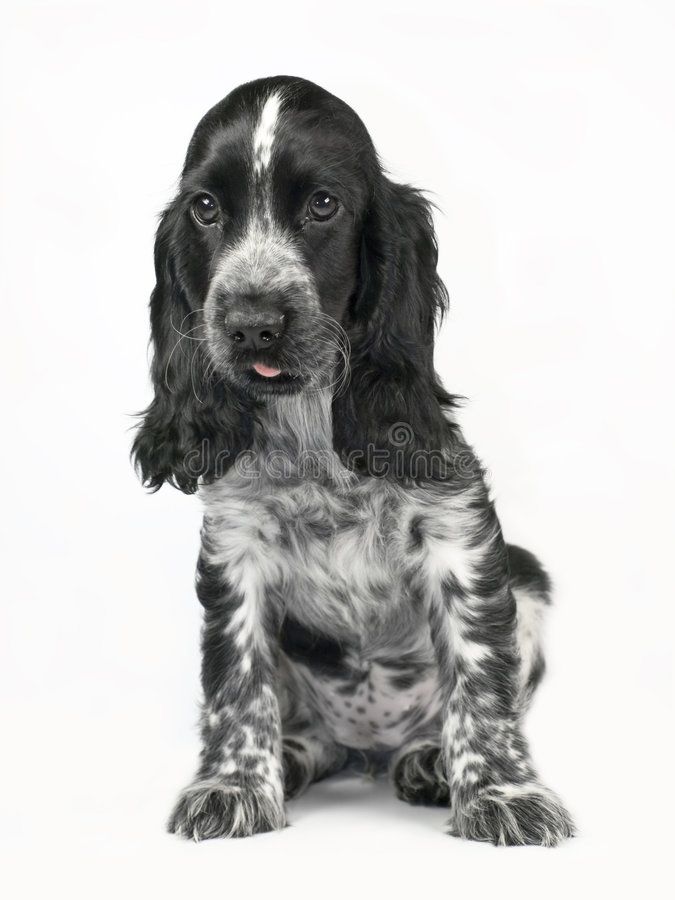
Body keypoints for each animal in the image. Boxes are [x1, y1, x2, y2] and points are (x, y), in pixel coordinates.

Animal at [133, 75, 576, 844]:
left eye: (323, 204)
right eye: (205, 207)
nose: (251, 323)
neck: (311, 426)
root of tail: (367, 751)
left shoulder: (458, 536)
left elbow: (480, 674)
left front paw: (501, 794)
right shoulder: (234, 550)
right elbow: (235, 679)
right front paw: (234, 785)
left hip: (530, 579)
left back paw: (430, 762)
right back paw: (293, 758)